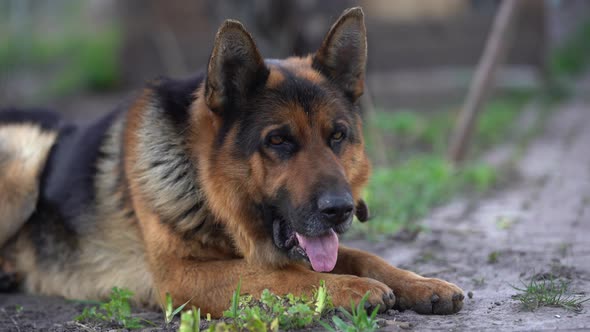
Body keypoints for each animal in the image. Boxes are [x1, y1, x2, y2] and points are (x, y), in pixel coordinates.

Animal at [0, 7, 464, 316]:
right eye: (278, 140)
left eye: (337, 136)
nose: (340, 210)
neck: (206, 189)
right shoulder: (181, 275)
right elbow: (282, 275)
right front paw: (354, 289)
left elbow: (365, 256)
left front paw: (420, 283)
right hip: (26, 159)